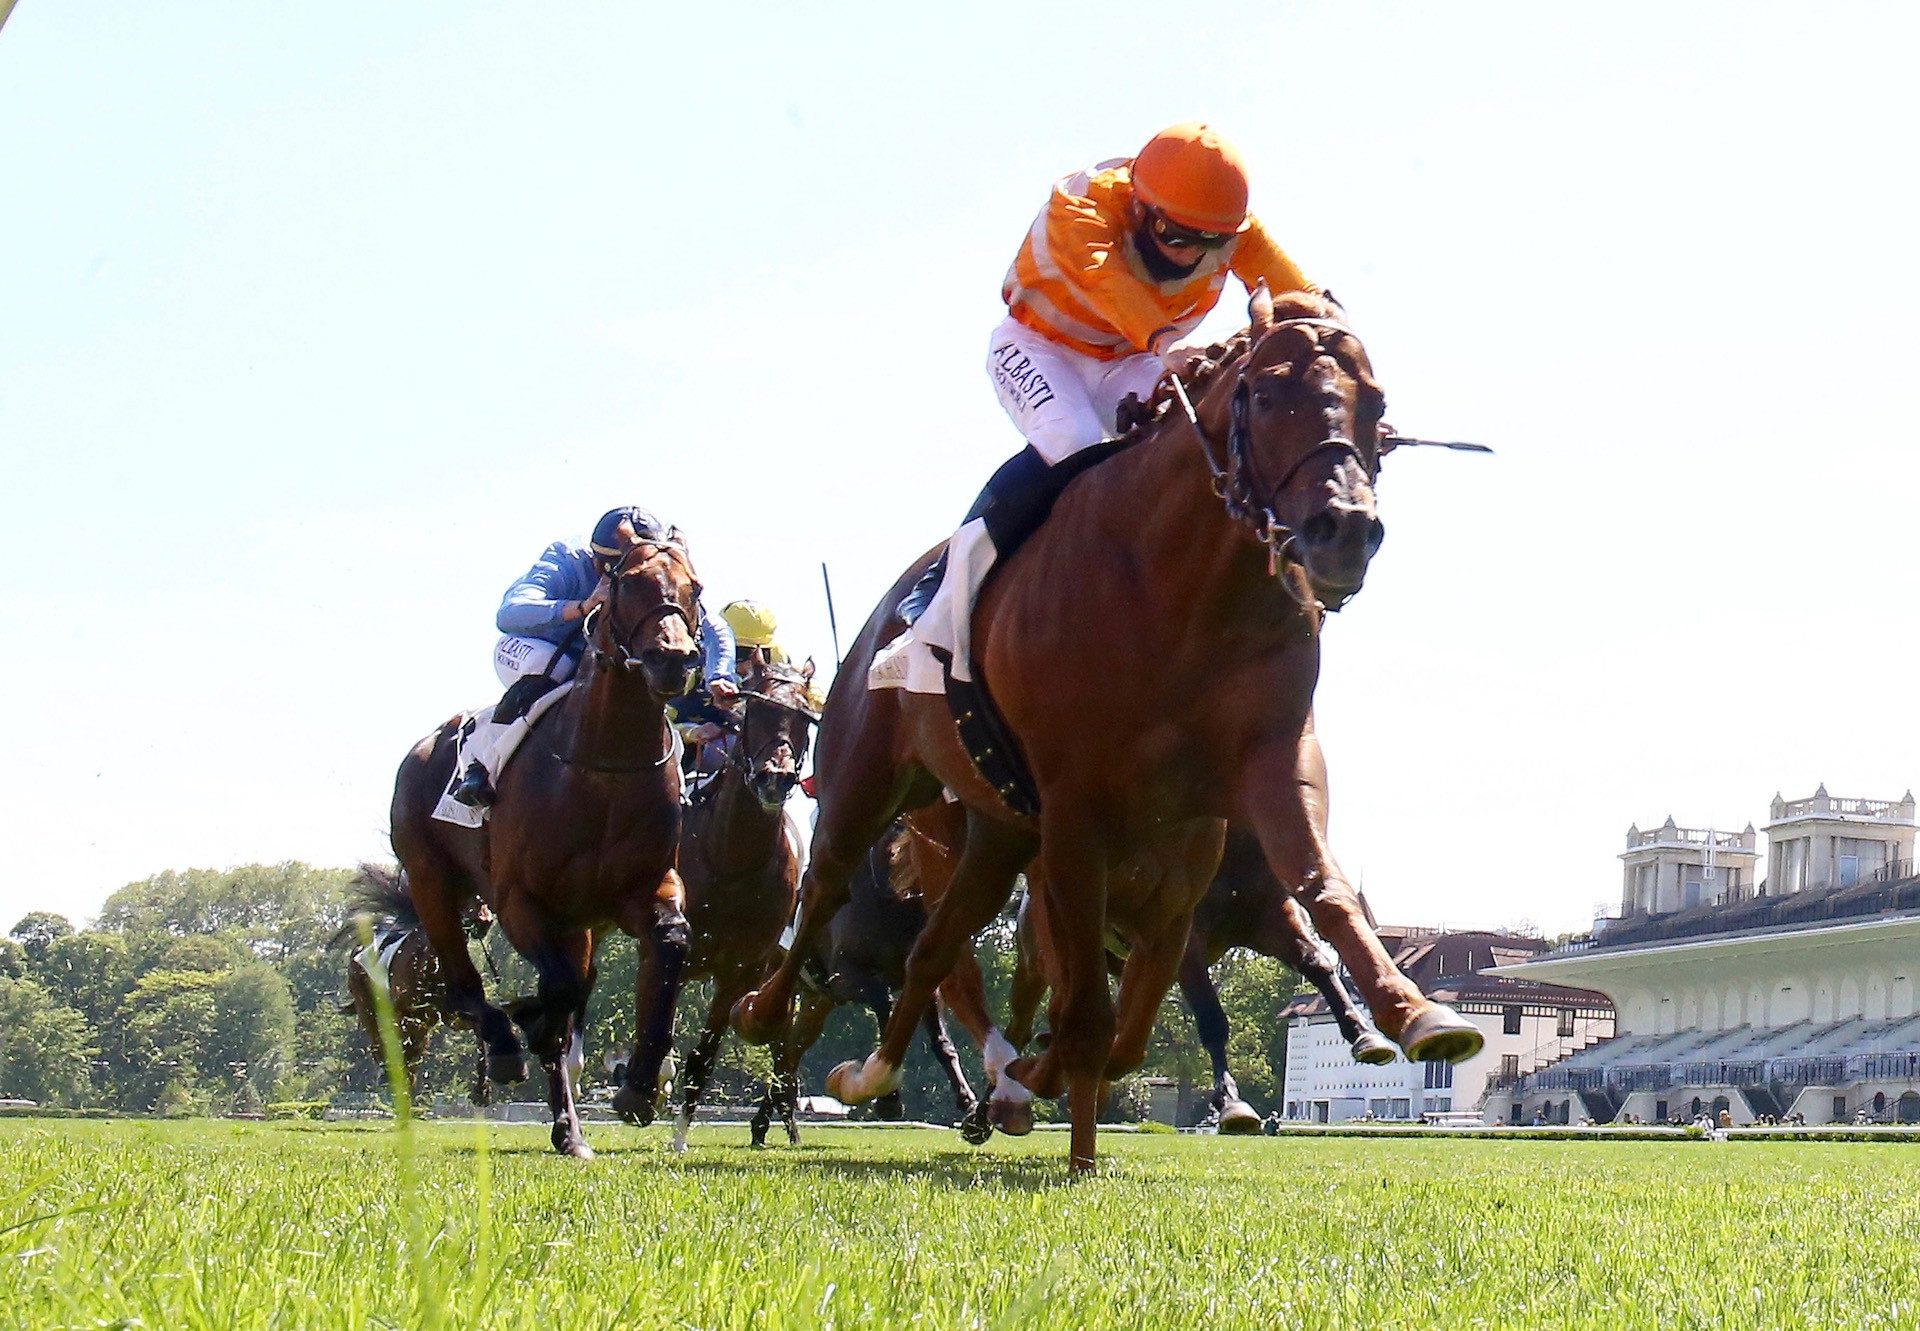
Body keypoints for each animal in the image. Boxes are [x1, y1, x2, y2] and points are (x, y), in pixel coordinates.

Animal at [339, 860, 503, 1098]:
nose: (484, 921)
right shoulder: (403, 1015)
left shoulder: (450, 1016)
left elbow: (479, 1029)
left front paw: (482, 1090)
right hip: (369, 1009)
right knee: (382, 1047)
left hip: (422, 1027)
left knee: (411, 1058)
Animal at [385, 533, 702, 1160]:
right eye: (631, 583)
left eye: (695, 588)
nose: (674, 659)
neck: (604, 768)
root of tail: (424, 746)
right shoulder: (519, 900)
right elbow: (557, 991)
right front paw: (526, 1023)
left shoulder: (644, 892)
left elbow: (668, 946)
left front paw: (640, 1085)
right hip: (432, 880)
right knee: (463, 982)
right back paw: (506, 1044)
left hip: (574, 925)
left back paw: (570, 1129)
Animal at [660, 656, 817, 1152]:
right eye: (757, 709)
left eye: (805, 717)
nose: (775, 778)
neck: (731, 857)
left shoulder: (743, 969)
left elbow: (704, 1055)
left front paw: (681, 1135)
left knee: (784, 1046)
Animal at [741, 286, 1474, 1167]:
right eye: (1268, 395)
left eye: (1377, 404)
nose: (1346, 529)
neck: (1181, 587)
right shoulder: (1077, 811)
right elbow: (1096, 1006)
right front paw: (1067, 1116)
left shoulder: (1263, 764)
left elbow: (1317, 892)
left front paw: (1412, 1012)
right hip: (869, 776)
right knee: (827, 887)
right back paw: (768, 1011)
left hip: (997, 833)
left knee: (933, 954)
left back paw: (882, 1073)